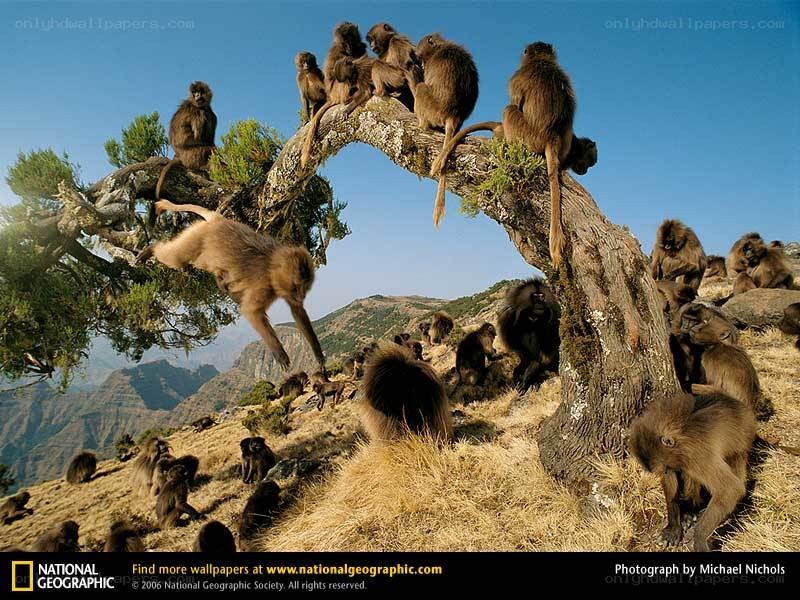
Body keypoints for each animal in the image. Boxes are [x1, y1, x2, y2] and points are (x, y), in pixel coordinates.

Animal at [137, 200, 325, 371]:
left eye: (305, 288)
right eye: (297, 287)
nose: (301, 296)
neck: (271, 267)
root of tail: (218, 220)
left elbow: (297, 311)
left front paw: (319, 356)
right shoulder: (263, 286)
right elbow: (251, 312)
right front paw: (279, 352)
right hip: (198, 236)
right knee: (177, 258)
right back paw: (151, 249)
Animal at [406, 33, 478, 228]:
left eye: (423, 59)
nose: (422, 65)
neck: (441, 46)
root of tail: (453, 115)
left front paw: (413, 73)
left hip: (431, 106)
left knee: (421, 88)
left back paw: (421, 122)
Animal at [628, 390, 755, 551]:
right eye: (666, 470)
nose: (666, 471)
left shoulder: (697, 456)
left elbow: (730, 490)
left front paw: (699, 538)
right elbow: (672, 485)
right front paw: (673, 526)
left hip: (743, 439)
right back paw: (691, 510)